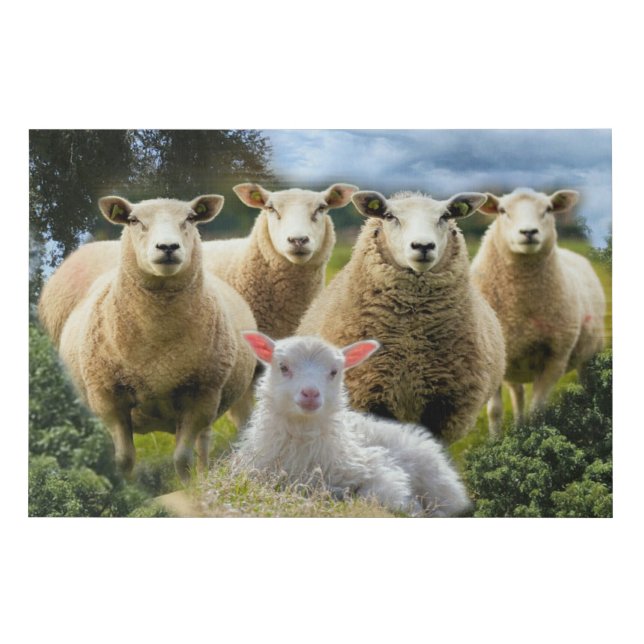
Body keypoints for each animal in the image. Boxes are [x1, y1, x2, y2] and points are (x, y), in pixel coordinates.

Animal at [42, 194, 257, 481]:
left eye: (191, 218)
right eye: (134, 220)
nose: (167, 246)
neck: (158, 343)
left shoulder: (201, 396)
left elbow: (182, 458)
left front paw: (189, 485)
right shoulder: (108, 398)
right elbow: (124, 458)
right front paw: (124, 486)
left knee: (203, 442)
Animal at [234, 332, 471, 517]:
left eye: (334, 371)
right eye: (283, 367)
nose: (310, 393)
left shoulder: (377, 468)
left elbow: (376, 494)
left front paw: (412, 508)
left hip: (438, 482)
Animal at [297, 190, 506, 441]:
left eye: (445, 216)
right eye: (389, 216)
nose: (423, 246)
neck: (410, 339)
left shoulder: (444, 405)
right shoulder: (369, 394)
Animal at [470, 188, 606, 426]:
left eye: (548, 209)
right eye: (502, 210)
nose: (529, 232)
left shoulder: (555, 359)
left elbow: (537, 412)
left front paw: (533, 431)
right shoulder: (490, 359)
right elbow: (495, 411)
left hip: (590, 355)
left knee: (588, 384)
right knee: (518, 395)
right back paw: (518, 426)